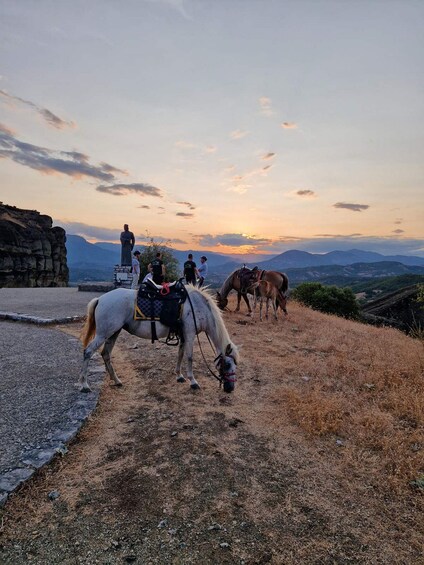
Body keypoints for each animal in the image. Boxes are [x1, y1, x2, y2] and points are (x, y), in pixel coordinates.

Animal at [79, 286, 238, 392]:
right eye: (227, 364)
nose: (230, 388)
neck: (198, 306)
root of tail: (100, 299)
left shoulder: (183, 335)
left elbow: (180, 354)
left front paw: (179, 376)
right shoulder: (190, 333)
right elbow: (189, 357)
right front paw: (193, 381)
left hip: (113, 333)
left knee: (106, 353)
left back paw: (117, 380)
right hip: (103, 334)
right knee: (88, 351)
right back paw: (84, 384)